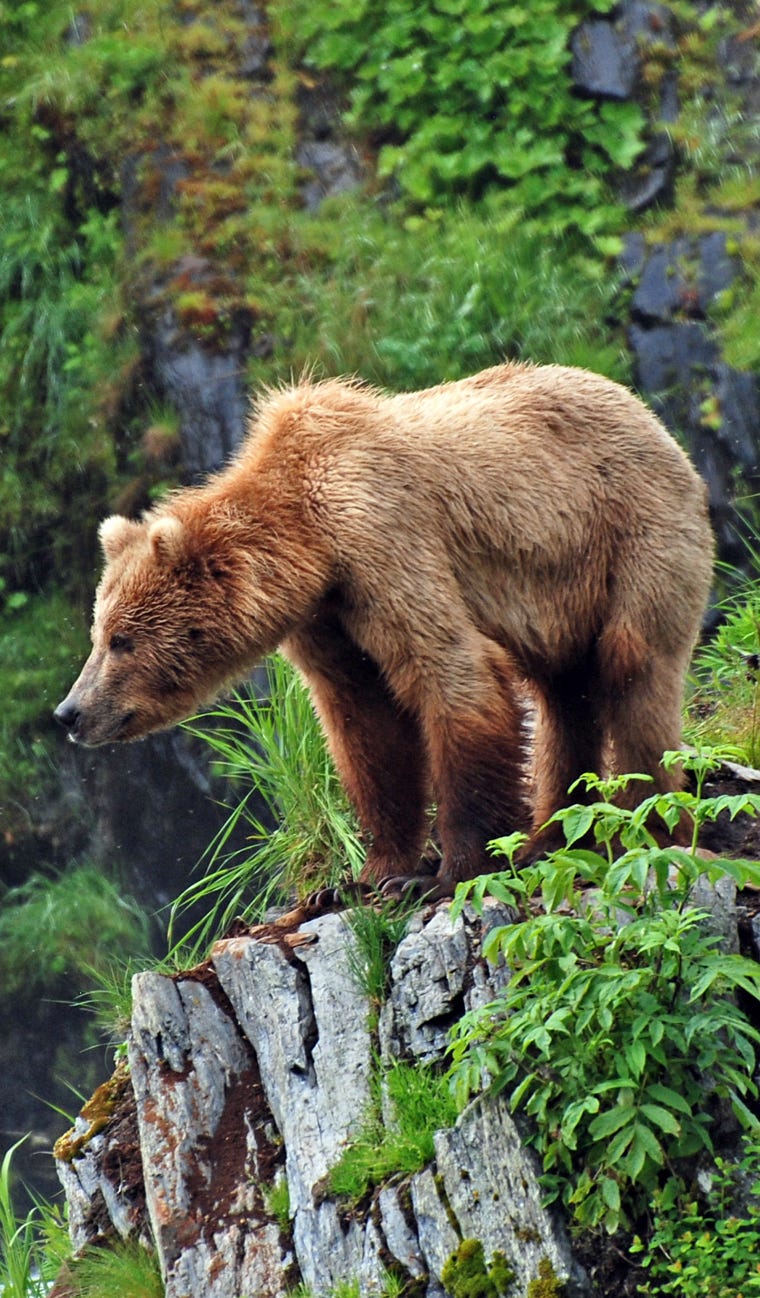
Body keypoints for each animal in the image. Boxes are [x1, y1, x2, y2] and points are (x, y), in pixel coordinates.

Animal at [56, 360, 710, 898]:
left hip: (631, 534)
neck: (311, 546)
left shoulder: (383, 540)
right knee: (563, 697)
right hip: (563, 597)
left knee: (633, 668)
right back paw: (550, 835)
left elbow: (453, 676)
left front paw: (443, 874)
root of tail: (647, 413)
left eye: (120, 640)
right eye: (98, 634)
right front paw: (368, 874)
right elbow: (365, 724)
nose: (70, 712)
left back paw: (647, 823)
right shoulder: (328, 619)